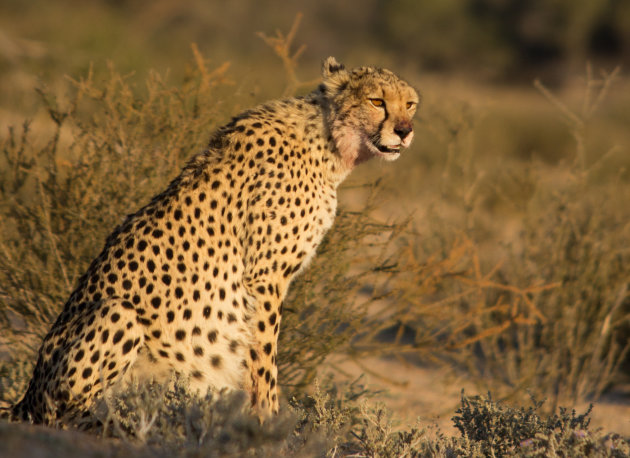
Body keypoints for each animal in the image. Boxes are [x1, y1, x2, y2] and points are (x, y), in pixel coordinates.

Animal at [7, 57, 420, 426]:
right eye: (377, 101)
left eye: (410, 104)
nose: (404, 130)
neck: (328, 142)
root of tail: (25, 398)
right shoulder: (265, 279)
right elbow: (264, 358)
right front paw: (269, 420)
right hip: (116, 314)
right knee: (65, 415)